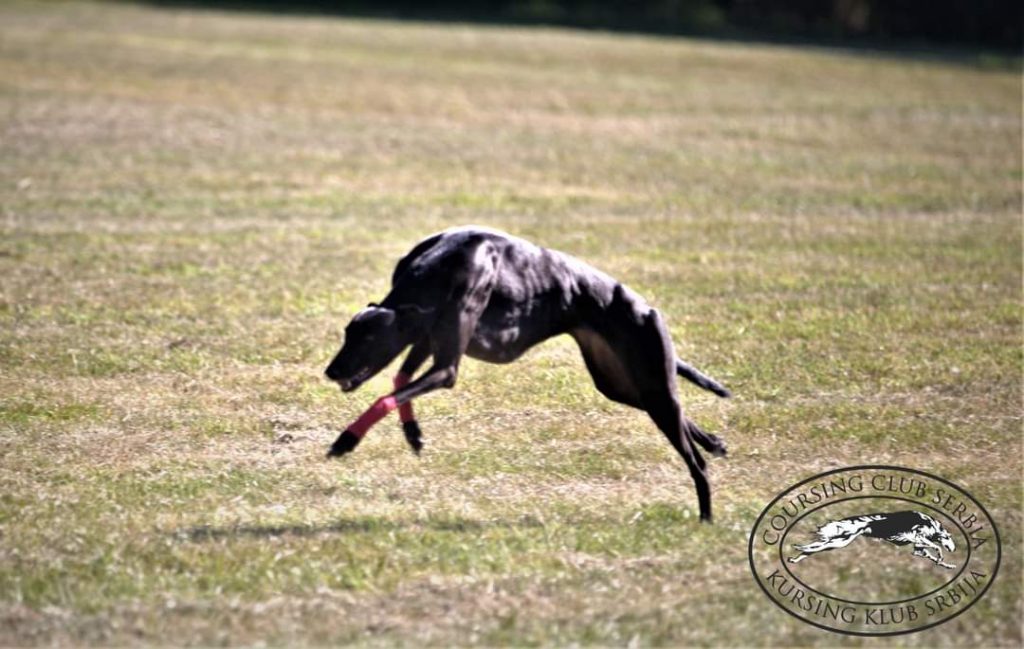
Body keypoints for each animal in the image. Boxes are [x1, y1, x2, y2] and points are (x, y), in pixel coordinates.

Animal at [324, 226, 731, 521]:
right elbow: (399, 381)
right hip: (620, 383)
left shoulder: (446, 364)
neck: (439, 266)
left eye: (368, 337)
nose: (331, 371)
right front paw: (412, 433)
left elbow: (387, 395)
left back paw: (706, 515)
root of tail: (645, 307)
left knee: (695, 461)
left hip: (651, 376)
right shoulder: (427, 337)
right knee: (672, 417)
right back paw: (712, 441)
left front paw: (346, 440)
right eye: (347, 333)